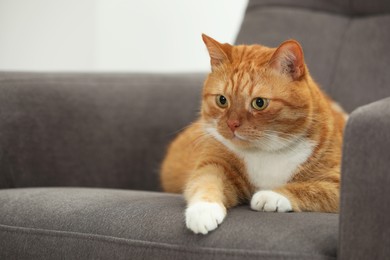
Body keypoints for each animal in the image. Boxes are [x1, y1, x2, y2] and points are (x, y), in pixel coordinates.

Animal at [160, 33, 346, 235]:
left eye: (259, 103)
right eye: (222, 100)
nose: (232, 124)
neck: (266, 152)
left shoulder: (340, 183)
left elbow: (310, 189)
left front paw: (271, 195)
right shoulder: (214, 164)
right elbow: (204, 181)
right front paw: (203, 211)